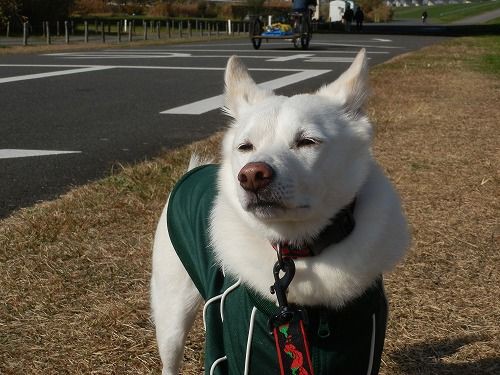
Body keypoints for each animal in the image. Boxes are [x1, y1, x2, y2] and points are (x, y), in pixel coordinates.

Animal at [150, 50, 408, 375]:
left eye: (307, 141)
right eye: (245, 147)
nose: (251, 175)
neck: (302, 251)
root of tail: (192, 171)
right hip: (172, 311)